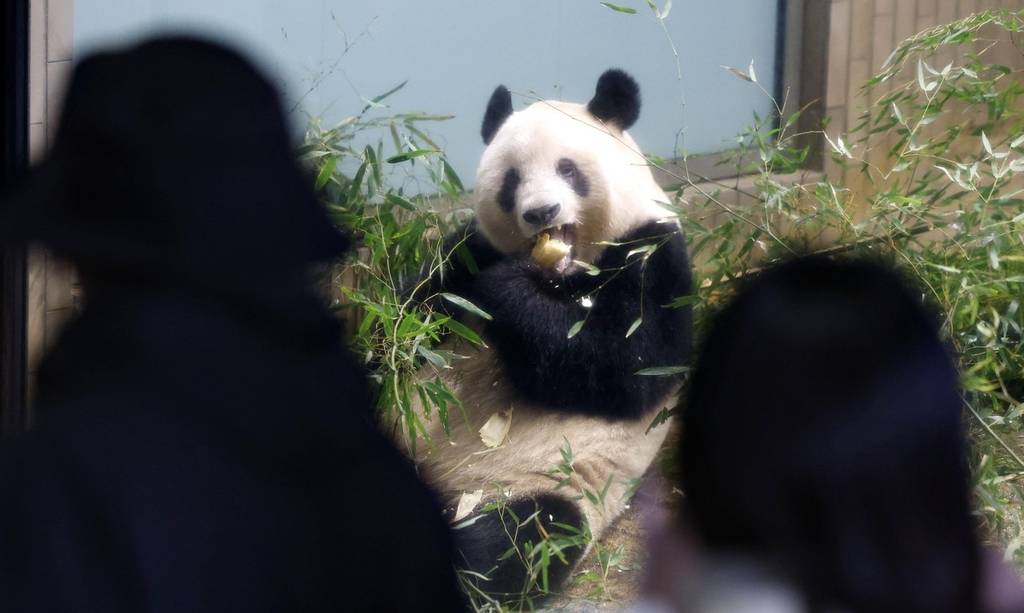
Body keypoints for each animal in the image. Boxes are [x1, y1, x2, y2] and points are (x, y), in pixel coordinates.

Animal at [403, 68, 692, 597]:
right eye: (512, 180)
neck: (561, 274)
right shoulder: (471, 251)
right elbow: (415, 307)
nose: (541, 213)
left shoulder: (654, 252)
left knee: (508, 545)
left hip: (528, 485)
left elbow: (626, 369)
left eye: (568, 169)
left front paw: (506, 291)